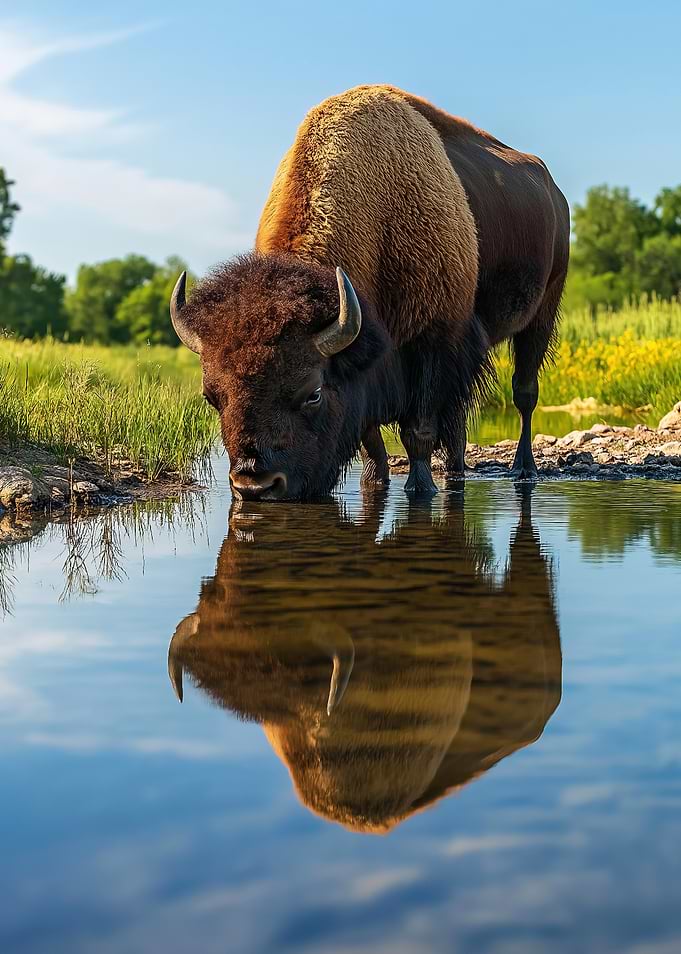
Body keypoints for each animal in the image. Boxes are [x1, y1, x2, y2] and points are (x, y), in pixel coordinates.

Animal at [171, 85, 569, 499]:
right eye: (211, 396)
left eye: (313, 392)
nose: (255, 485)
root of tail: (553, 192)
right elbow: (370, 437)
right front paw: (375, 482)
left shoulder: (431, 340)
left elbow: (418, 431)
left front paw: (420, 487)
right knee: (460, 419)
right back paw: (456, 472)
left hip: (543, 311)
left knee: (524, 392)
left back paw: (524, 468)